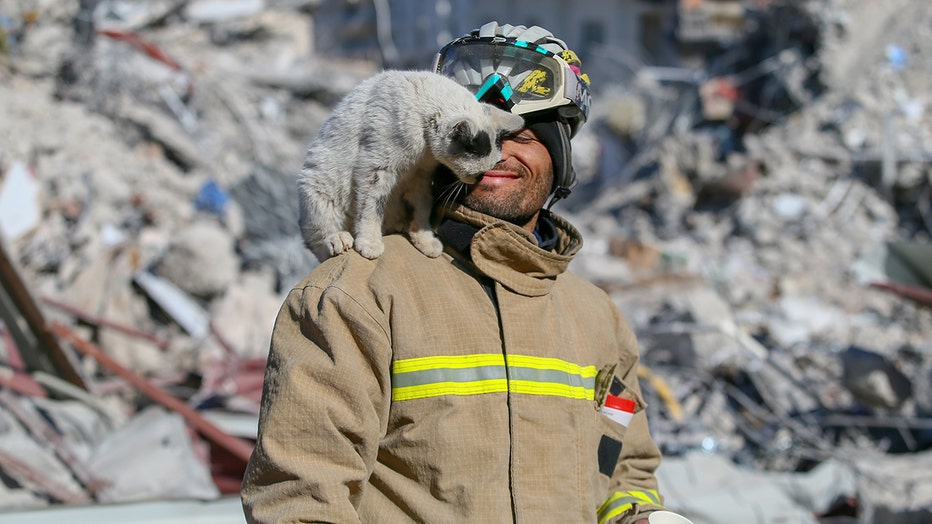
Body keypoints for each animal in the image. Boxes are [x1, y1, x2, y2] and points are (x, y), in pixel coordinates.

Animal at [296, 69, 524, 262]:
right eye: (478, 173)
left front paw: (425, 239)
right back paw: (338, 239)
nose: (479, 179)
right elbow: (371, 209)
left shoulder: (420, 177)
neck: (424, 149)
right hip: (315, 189)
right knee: (318, 241)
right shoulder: (375, 168)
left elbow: (422, 209)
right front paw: (369, 243)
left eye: (486, 171)